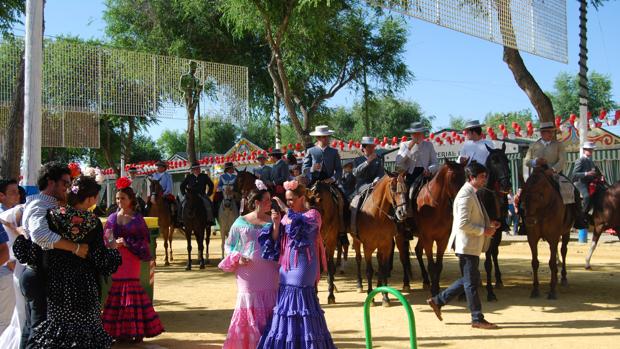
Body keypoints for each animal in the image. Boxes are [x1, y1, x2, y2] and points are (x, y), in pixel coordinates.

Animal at [352, 173, 410, 306]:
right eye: (393, 188)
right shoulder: (367, 247)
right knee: (358, 259)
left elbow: (383, 268)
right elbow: (369, 271)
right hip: (356, 241)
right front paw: (370, 296)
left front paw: (385, 296)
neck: (377, 216)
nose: (403, 212)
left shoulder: (386, 245)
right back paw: (359, 285)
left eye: (406, 188)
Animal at [412, 160, 464, 294]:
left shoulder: (443, 239)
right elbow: (431, 265)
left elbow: (438, 265)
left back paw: (426, 280)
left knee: (417, 250)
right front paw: (434, 289)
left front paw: (436, 286)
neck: (436, 206)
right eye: (453, 177)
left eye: (465, 176)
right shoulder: (428, 238)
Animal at [520, 167, 572, 300]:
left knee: (563, 251)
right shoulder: (532, 238)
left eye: (541, 195)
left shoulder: (553, 237)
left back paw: (563, 277)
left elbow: (552, 263)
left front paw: (552, 290)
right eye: (523, 195)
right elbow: (535, 262)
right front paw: (535, 289)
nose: (529, 220)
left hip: (566, 232)